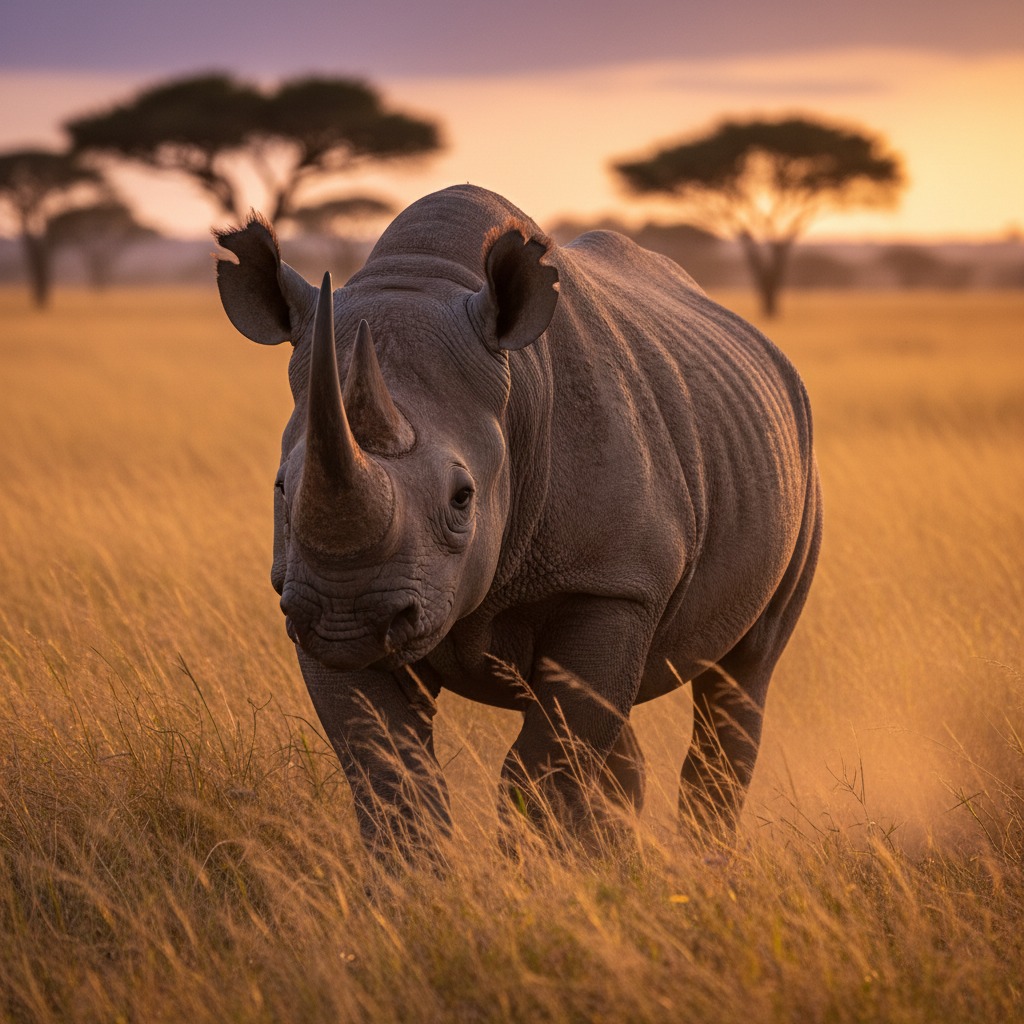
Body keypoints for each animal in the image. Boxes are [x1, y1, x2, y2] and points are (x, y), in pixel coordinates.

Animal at [215, 184, 822, 855]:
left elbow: (542, 772)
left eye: (463, 498)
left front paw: (541, 875)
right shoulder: (310, 598)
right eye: (281, 489)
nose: (348, 620)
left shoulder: (611, 583)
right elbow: (387, 768)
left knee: (744, 672)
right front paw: (414, 883)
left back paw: (700, 860)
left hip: (799, 456)